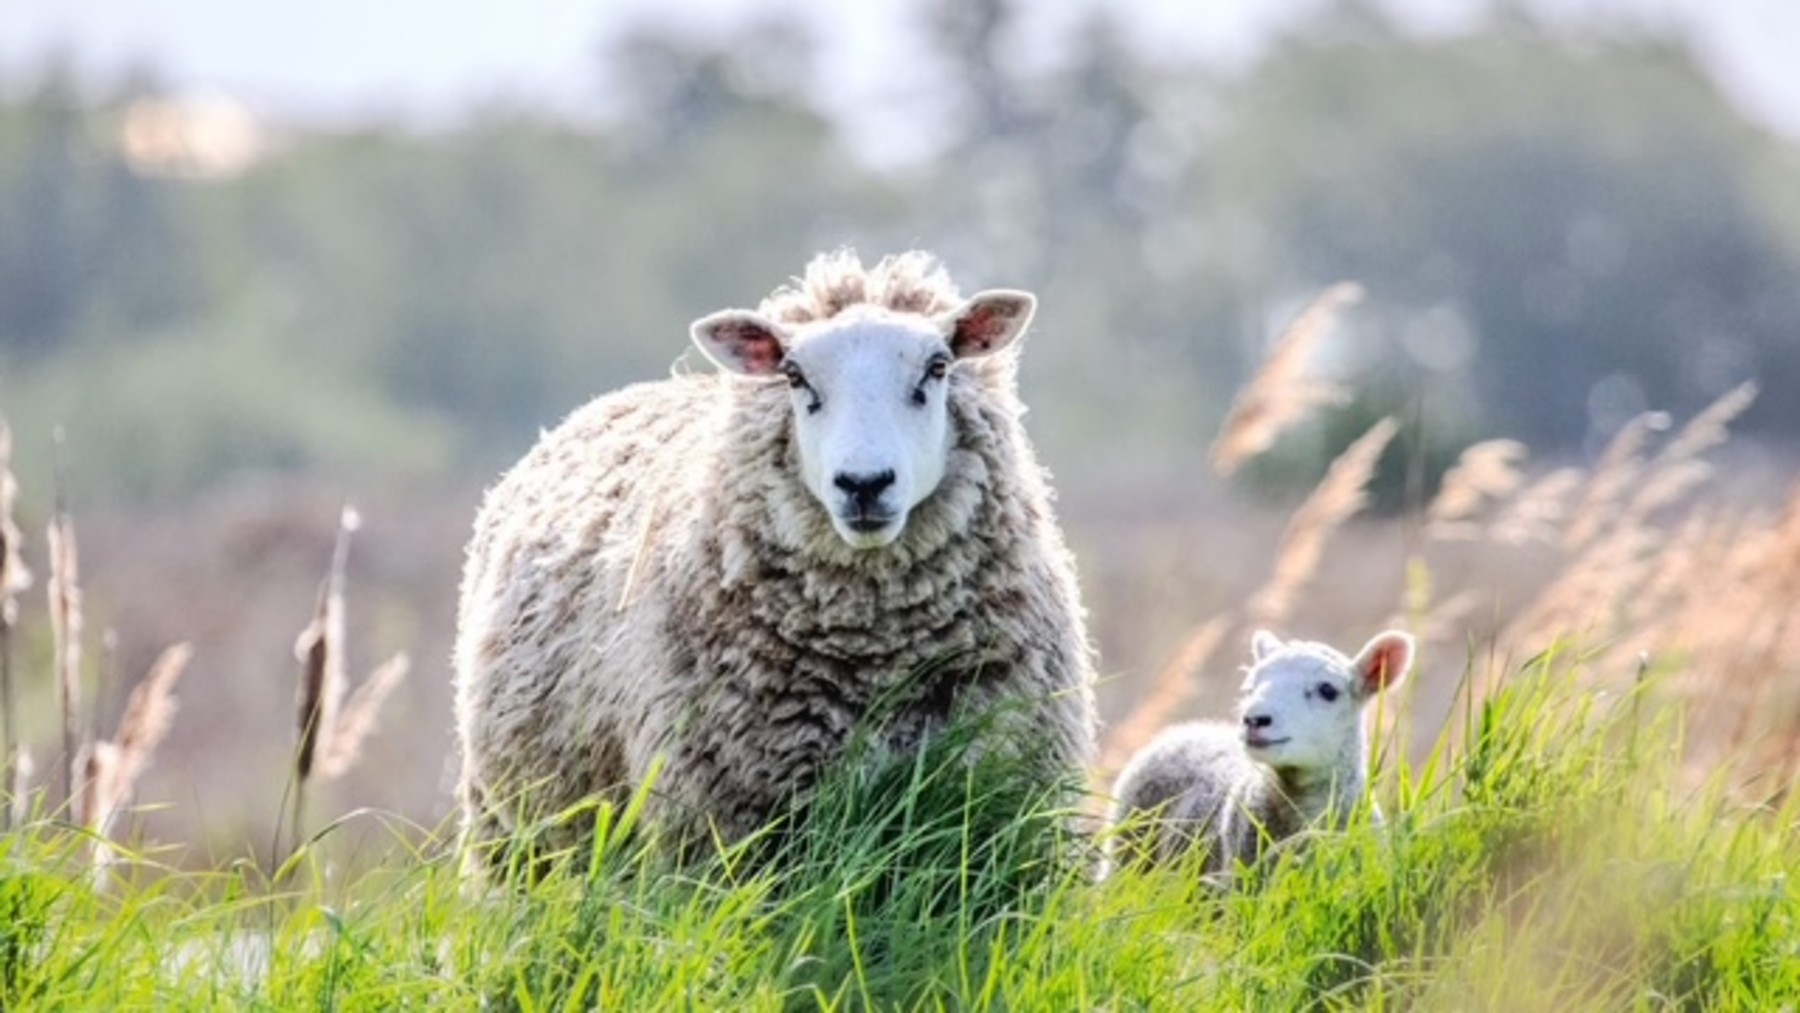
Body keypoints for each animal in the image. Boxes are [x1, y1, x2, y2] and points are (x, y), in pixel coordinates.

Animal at [453, 249, 1097, 870]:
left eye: (937, 368)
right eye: (794, 376)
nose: (864, 484)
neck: (875, 657)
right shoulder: (725, 823)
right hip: (514, 834)